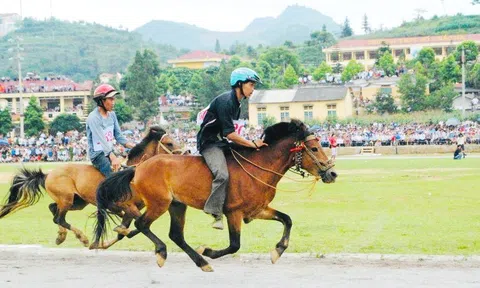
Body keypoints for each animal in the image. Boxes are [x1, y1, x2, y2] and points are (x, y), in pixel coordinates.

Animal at [0, 125, 185, 246]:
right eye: (169, 143)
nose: (187, 153)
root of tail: (48, 174)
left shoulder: (131, 209)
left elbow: (128, 228)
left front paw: (108, 240)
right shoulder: (127, 206)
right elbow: (132, 225)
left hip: (77, 202)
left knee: (53, 210)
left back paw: (61, 235)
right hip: (67, 199)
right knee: (59, 217)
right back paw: (81, 237)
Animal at [91, 120, 338, 272]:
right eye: (314, 148)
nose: (332, 173)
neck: (258, 167)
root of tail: (138, 169)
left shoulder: (257, 210)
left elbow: (287, 219)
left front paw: (277, 250)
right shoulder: (234, 213)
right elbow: (235, 245)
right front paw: (208, 250)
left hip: (177, 205)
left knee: (175, 235)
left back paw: (201, 263)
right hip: (159, 204)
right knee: (142, 224)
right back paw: (163, 252)